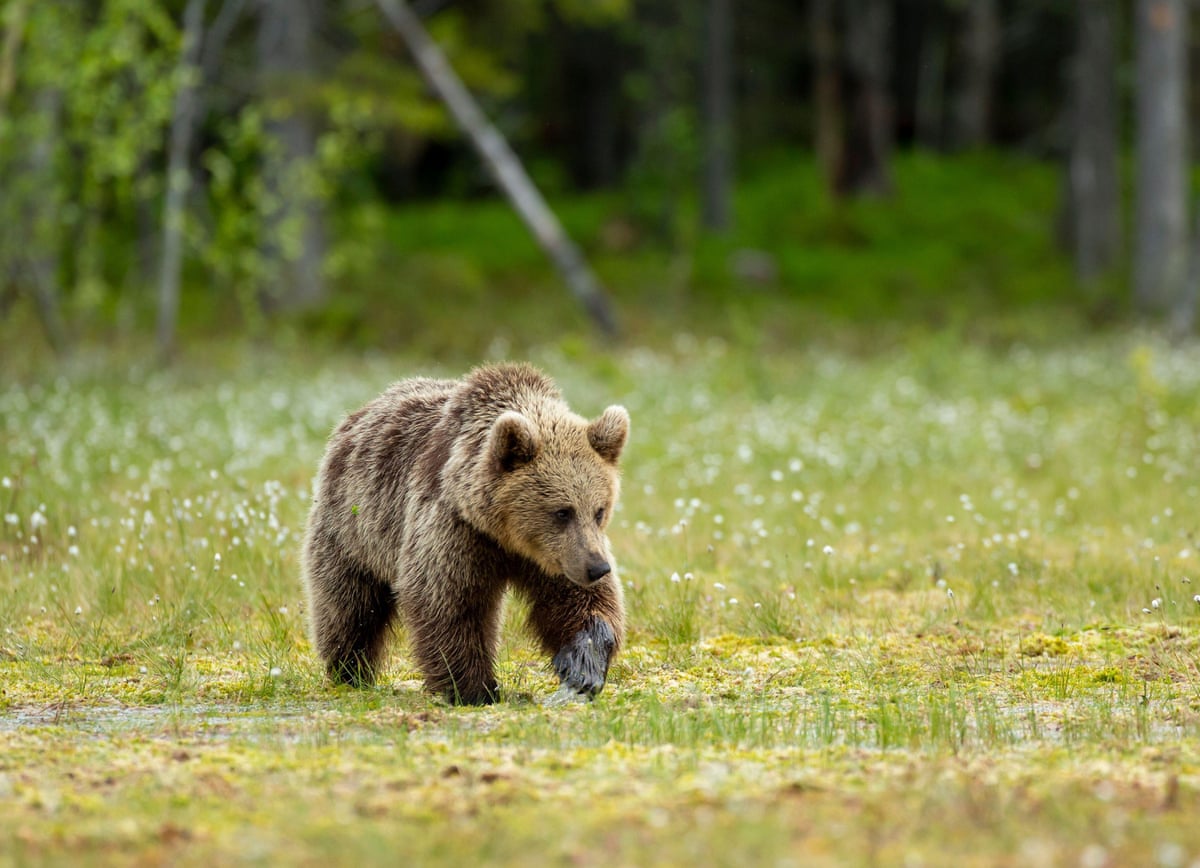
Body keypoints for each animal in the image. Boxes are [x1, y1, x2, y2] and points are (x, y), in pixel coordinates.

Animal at [301, 362, 629, 705]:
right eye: (562, 511)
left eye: (599, 510)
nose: (597, 567)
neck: (504, 534)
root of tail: (356, 416)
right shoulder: (455, 529)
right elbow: (449, 602)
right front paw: (474, 689)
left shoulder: (553, 556)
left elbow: (578, 599)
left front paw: (582, 667)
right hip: (353, 528)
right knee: (349, 606)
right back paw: (348, 670)